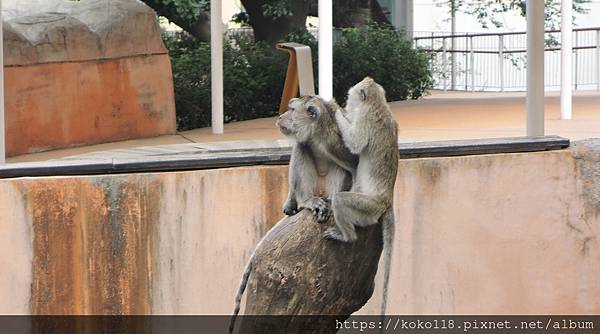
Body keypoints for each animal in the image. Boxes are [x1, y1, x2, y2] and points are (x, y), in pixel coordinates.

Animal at [229, 95, 358, 332]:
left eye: (291, 110)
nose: (281, 116)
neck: (318, 135)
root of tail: (320, 193)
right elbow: (301, 147)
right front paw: (290, 204)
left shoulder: (343, 139)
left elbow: (356, 163)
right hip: (310, 188)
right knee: (301, 148)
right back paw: (307, 202)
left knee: (340, 168)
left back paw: (331, 200)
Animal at [328, 76, 398, 318]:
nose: (346, 101)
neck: (378, 104)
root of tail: (387, 201)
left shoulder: (366, 118)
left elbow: (355, 143)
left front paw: (334, 108)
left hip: (368, 208)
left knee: (340, 200)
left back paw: (347, 237)